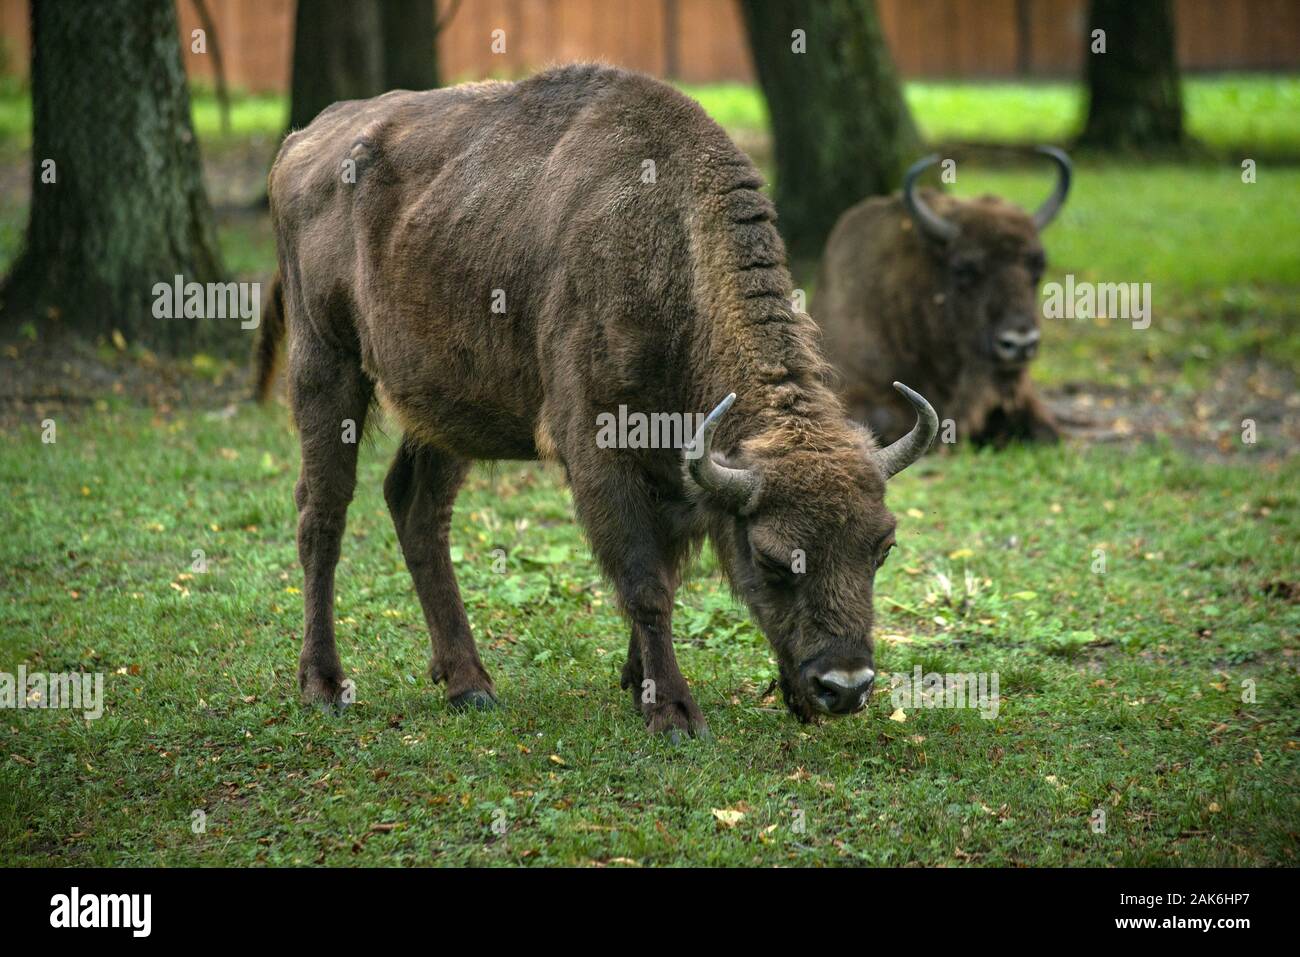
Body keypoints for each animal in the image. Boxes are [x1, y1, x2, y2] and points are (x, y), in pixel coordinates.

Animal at [256, 65, 935, 738]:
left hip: (448, 406)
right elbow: (645, 582)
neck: (673, 242)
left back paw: (469, 685)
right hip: (326, 362)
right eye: (771, 558)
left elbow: (664, 570)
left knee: (416, 506)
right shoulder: (600, 449)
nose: (844, 686)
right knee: (322, 513)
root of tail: (302, 141)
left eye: (882, 547)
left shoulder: (677, 463)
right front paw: (673, 712)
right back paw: (324, 686)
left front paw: (638, 682)